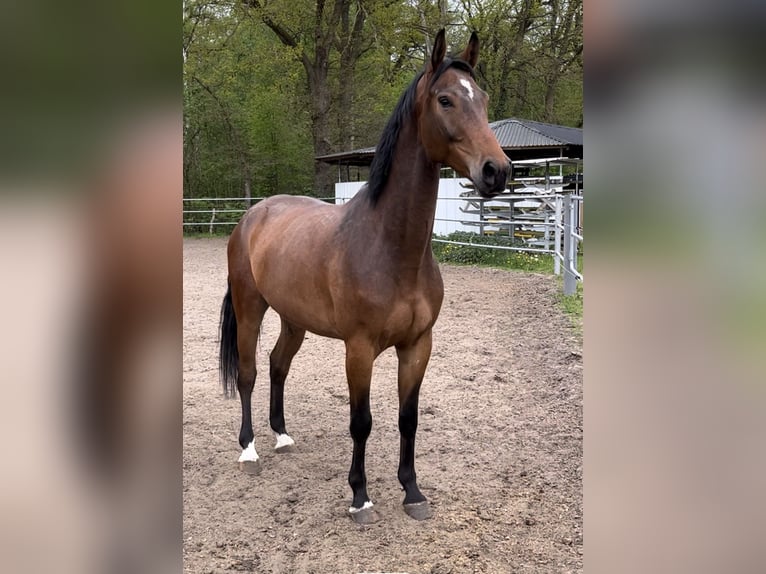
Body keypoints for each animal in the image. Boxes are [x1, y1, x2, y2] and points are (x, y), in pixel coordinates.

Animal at [219, 30, 512, 528]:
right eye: (446, 99)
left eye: (484, 98)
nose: (498, 171)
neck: (390, 250)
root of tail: (253, 215)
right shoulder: (359, 349)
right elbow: (362, 422)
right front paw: (360, 497)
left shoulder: (417, 346)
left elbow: (408, 419)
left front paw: (412, 492)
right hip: (250, 308)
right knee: (249, 373)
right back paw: (250, 450)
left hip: (294, 319)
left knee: (278, 365)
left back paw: (282, 436)